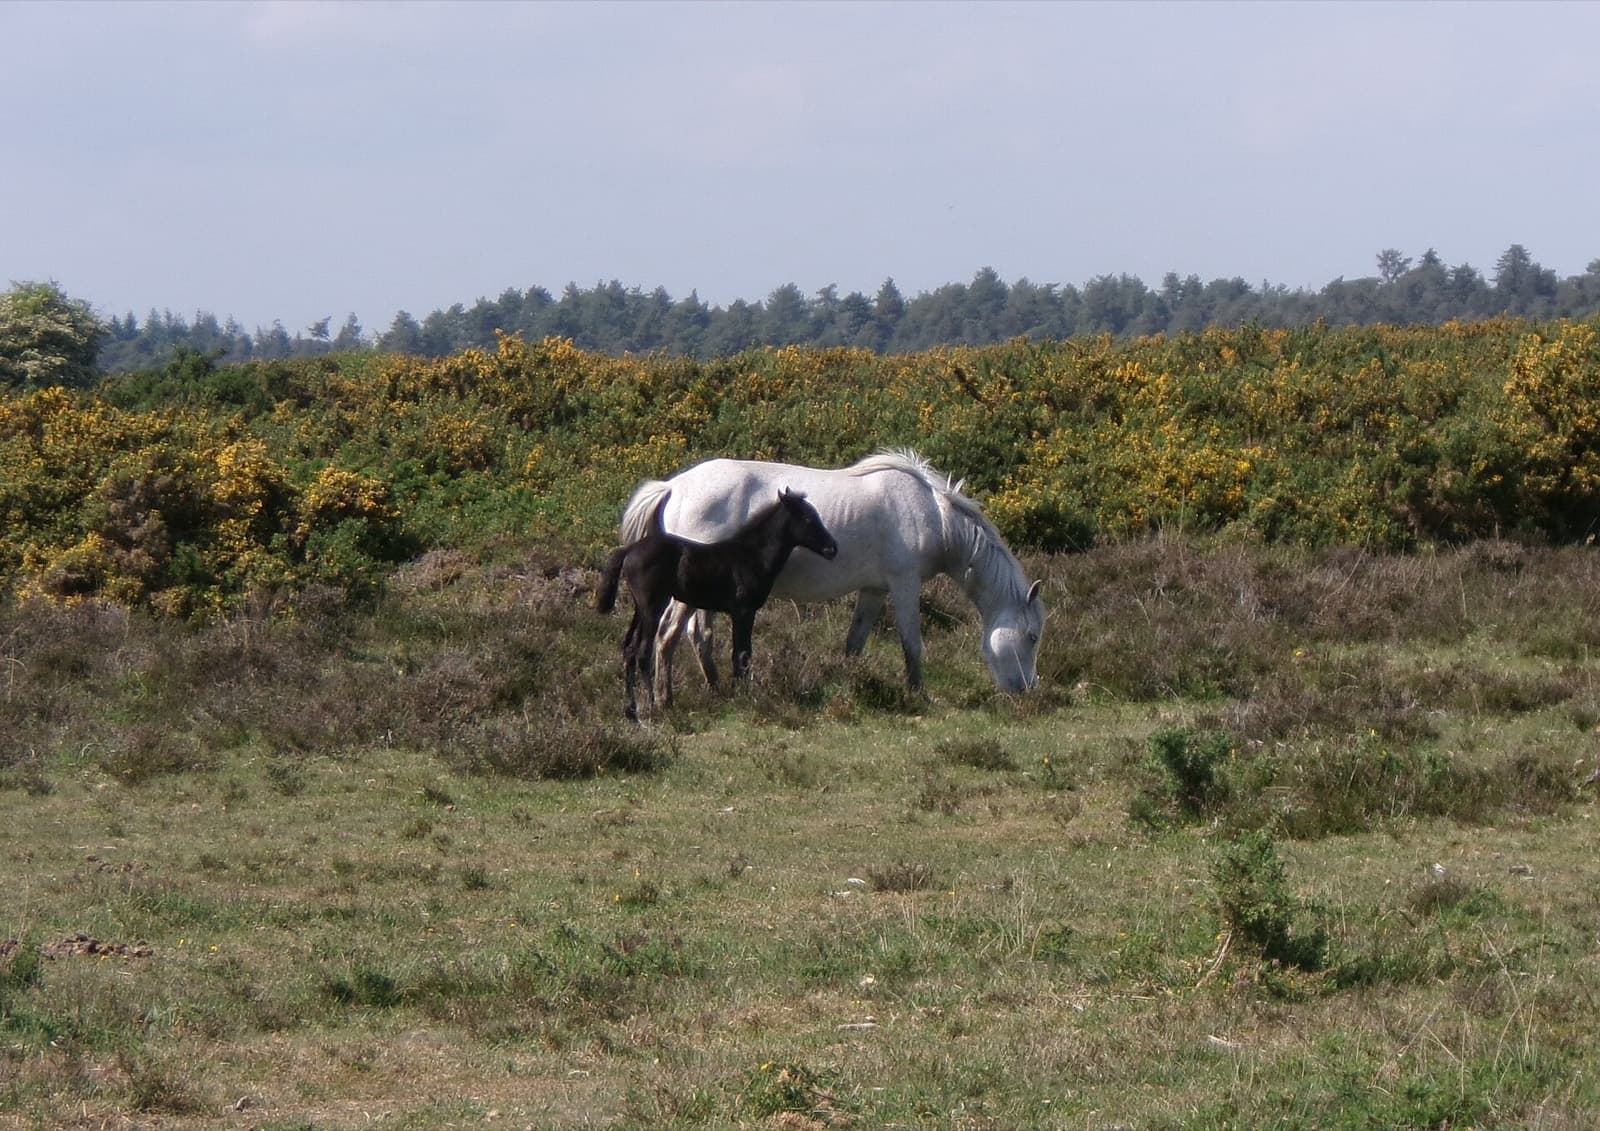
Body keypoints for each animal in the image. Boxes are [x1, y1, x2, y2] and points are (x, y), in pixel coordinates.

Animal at [595, 487, 839, 720]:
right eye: (808, 518)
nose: (832, 548)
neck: (751, 556)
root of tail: (628, 550)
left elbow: (740, 653)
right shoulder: (743, 611)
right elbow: (742, 654)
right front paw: (743, 695)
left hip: (639, 608)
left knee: (629, 650)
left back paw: (631, 711)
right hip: (652, 607)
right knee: (643, 653)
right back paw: (653, 706)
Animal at [619, 449, 1045, 705]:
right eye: (1032, 636)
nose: (1026, 691)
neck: (934, 515)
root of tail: (673, 487)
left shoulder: (874, 590)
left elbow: (854, 643)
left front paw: (850, 683)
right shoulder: (904, 584)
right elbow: (912, 644)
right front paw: (918, 694)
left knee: (699, 636)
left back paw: (714, 688)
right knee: (669, 635)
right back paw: (664, 699)